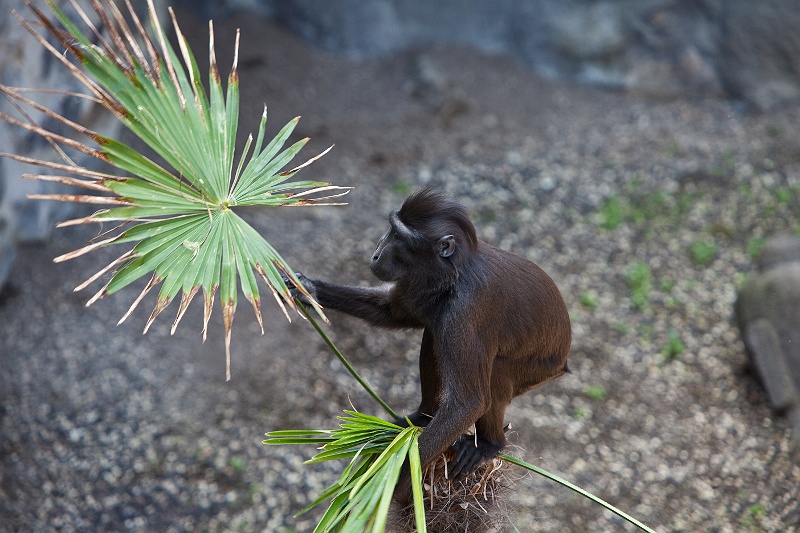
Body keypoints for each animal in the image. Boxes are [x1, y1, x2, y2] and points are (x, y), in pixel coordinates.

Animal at [288, 188, 571, 501]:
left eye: (398, 236)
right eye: (391, 229)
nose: (376, 253)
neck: (453, 273)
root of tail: (563, 361)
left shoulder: (465, 309)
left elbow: (467, 404)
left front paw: (389, 483)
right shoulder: (419, 282)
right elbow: (392, 313)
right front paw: (307, 288)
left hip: (536, 370)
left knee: (492, 373)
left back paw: (489, 444)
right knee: (434, 333)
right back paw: (424, 418)